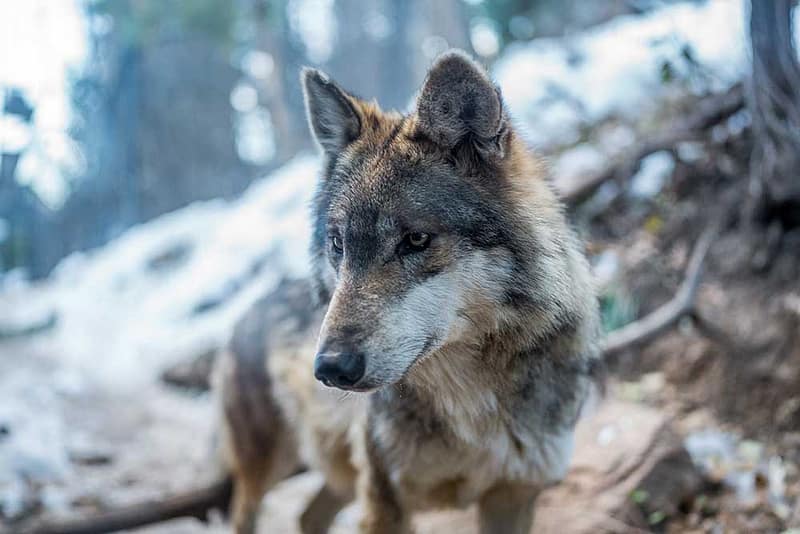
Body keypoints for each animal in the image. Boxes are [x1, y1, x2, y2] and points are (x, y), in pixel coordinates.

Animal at [214, 51, 600, 534]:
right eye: (338, 243)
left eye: (415, 239)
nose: (330, 368)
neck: (472, 402)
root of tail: (244, 314)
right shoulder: (384, 502)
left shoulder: (513, 494)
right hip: (268, 471)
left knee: (307, 515)